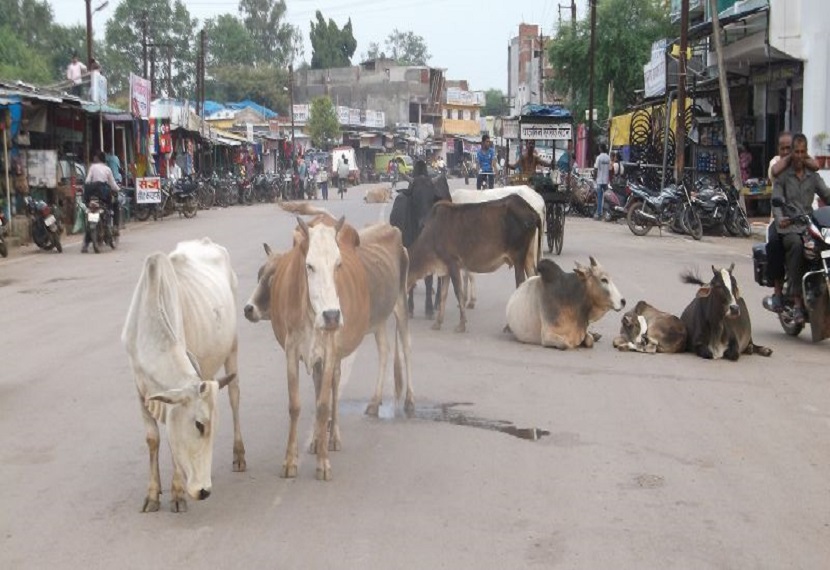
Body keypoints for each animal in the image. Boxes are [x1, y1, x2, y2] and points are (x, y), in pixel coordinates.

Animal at [120, 237, 245, 512]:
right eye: (199, 424)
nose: (204, 491)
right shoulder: (139, 389)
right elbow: (153, 438)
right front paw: (153, 494)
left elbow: (171, 443)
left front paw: (177, 493)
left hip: (232, 347)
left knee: (234, 397)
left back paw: (239, 455)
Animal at [245, 215, 414, 478]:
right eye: (309, 265)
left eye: (338, 264)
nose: (248, 308)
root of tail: (392, 229)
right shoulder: (293, 352)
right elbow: (297, 405)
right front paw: (292, 459)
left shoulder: (330, 350)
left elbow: (323, 405)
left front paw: (323, 462)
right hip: (377, 321)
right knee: (384, 350)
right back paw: (369, 406)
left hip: (400, 302)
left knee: (405, 346)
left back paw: (407, 401)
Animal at [408, 193, 544, 330]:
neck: (432, 234)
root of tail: (531, 211)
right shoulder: (445, 267)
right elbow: (443, 295)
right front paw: (438, 323)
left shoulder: (453, 263)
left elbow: (458, 293)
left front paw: (462, 324)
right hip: (528, 257)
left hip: (518, 258)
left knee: (520, 283)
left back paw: (510, 327)